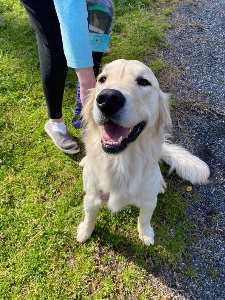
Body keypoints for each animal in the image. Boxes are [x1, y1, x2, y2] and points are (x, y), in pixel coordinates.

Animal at [76, 59, 210, 246]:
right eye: (102, 79)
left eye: (143, 82)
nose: (107, 99)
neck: (121, 162)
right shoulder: (92, 197)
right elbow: (89, 216)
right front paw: (84, 231)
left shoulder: (149, 201)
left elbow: (144, 219)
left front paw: (146, 234)